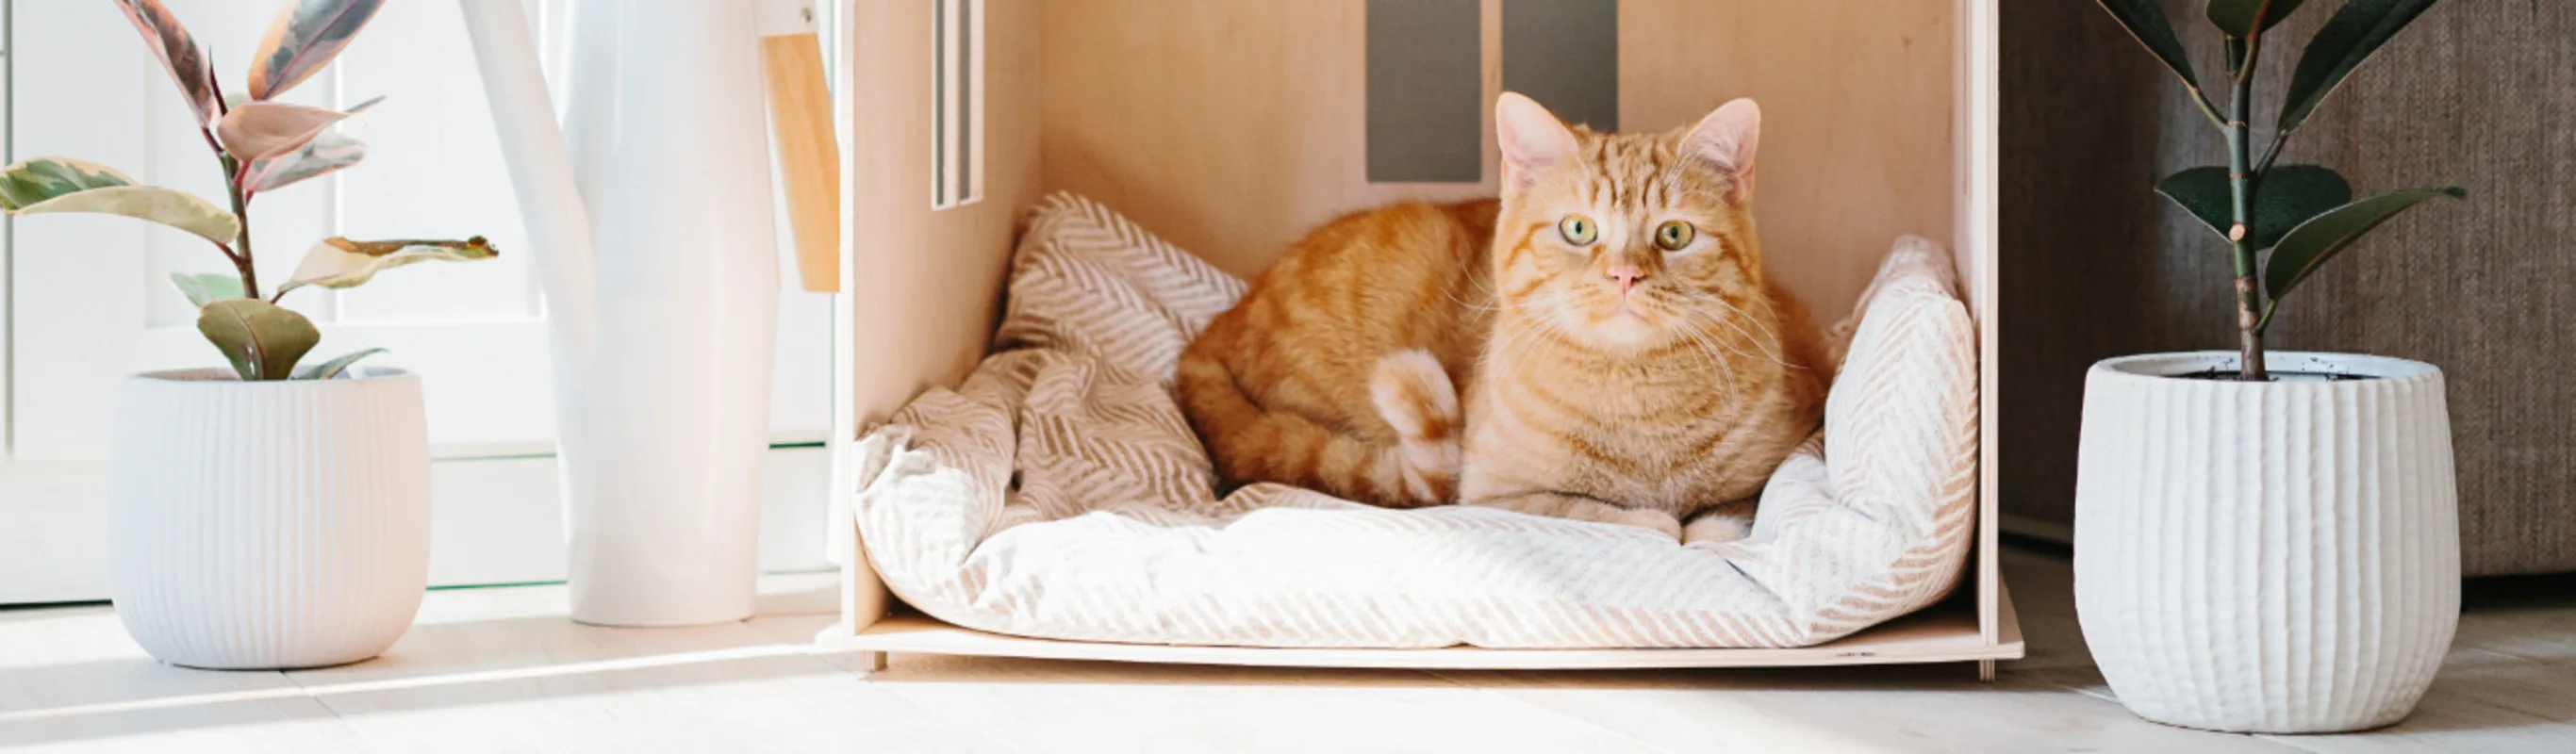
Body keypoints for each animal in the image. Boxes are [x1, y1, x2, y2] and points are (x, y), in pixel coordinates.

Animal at [1180, 93, 1824, 540]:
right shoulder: (1493, 497)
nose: (1623, 275)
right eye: (1578, 228)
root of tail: (1223, 319)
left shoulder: (1791, 441)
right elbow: (1588, 509)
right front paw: (1654, 521)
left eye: (1674, 234)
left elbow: (1736, 509)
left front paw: (1706, 526)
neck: (1638, 404)